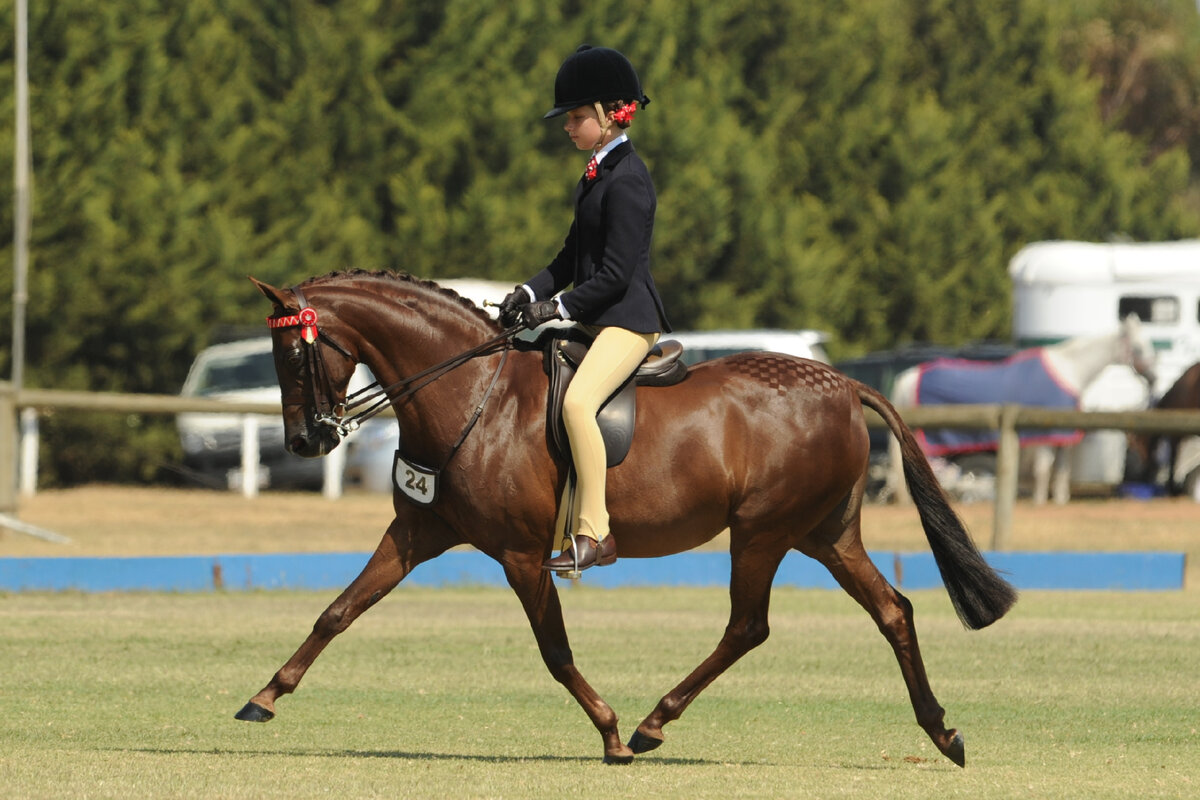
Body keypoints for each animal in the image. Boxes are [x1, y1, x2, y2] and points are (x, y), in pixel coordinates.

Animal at [238, 272, 1017, 767]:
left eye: (295, 353)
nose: (305, 442)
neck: (470, 394)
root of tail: (846, 384)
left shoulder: (520, 556)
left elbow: (555, 652)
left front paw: (610, 733)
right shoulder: (418, 533)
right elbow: (339, 611)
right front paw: (263, 698)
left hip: (762, 532)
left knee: (748, 626)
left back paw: (649, 726)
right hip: (824, 535)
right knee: (893, 610)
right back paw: (943, 733)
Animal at [892, 316, 1152, 503]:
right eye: (1139, 348)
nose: (1152, 374)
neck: (1070, 369)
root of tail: (907, 378)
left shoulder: (1062, 438)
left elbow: (1061, 471)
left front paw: (1059, 499)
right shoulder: (1045, 436)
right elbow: (1044, 469)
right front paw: (1040, 500)